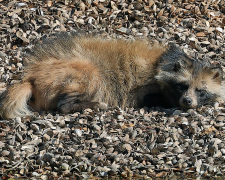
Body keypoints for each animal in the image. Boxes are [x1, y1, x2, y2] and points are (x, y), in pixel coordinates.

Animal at [0, 32, 222, 119]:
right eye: (182, 86)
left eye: (201, 91)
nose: (187, 101)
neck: (166, 60)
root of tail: (30, 78)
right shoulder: (143, 86)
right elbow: (149, 96)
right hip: (75, 71)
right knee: (79, 86)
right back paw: (89, 104)